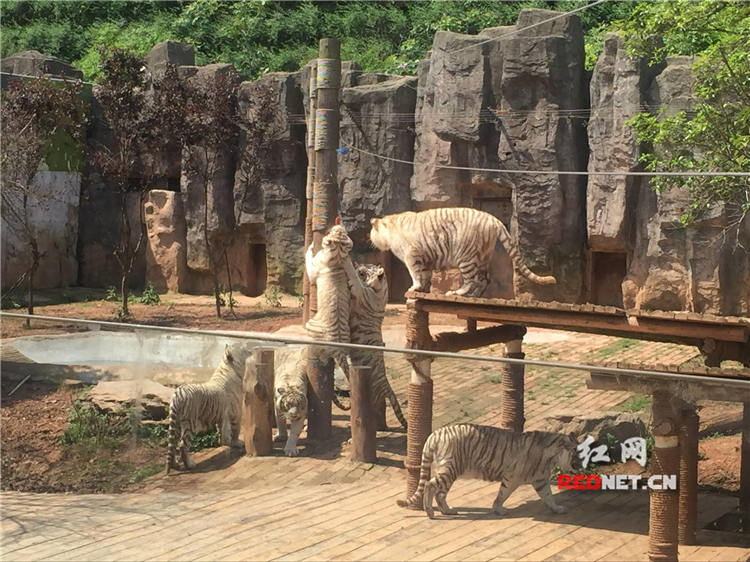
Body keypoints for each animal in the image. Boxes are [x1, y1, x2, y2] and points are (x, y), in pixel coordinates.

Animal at [400, 424, 580, 516]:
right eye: (578, 453)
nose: (582, 465)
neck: (552, 456)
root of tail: (435, 434)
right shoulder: (512, 478)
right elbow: (502, 494)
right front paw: (498, 509)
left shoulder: (540, 480)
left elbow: (548, 496)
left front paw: (557, 509)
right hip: (449, 469)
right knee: (430, 486)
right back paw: (430, 512)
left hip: (448, 472)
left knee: (440, 493)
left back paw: (448, 510)